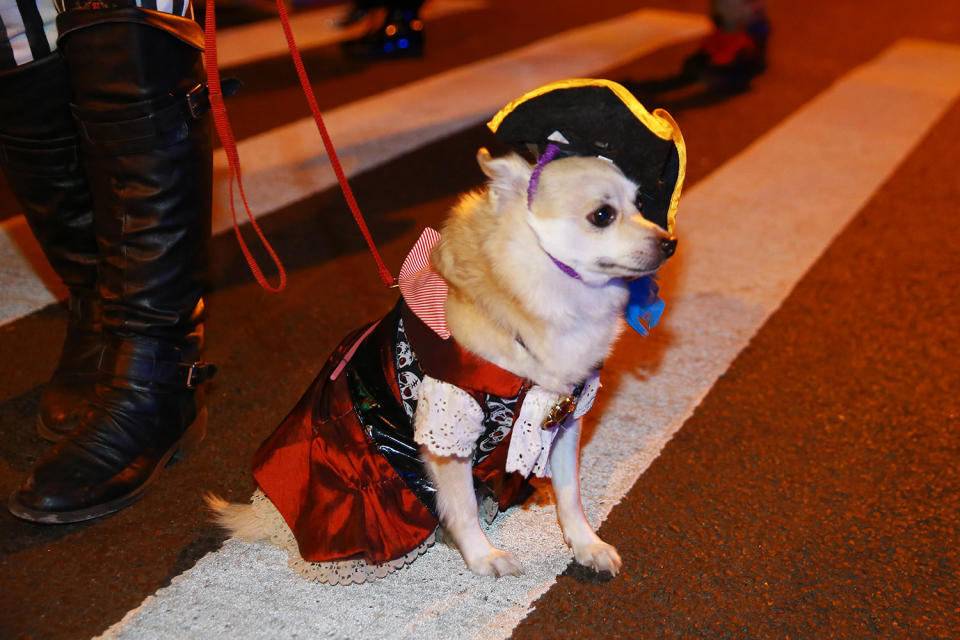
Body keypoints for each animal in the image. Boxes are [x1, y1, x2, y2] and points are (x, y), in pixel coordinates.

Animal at [210, 77, 684, 584]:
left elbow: (570, 493)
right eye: (602, 215)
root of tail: (267, 512)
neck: (540, 296)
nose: (670, 244)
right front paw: (482, 556)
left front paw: (585, 544)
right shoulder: (448, 429)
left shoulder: (562, 416)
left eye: (640, 204)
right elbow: (461, 505)